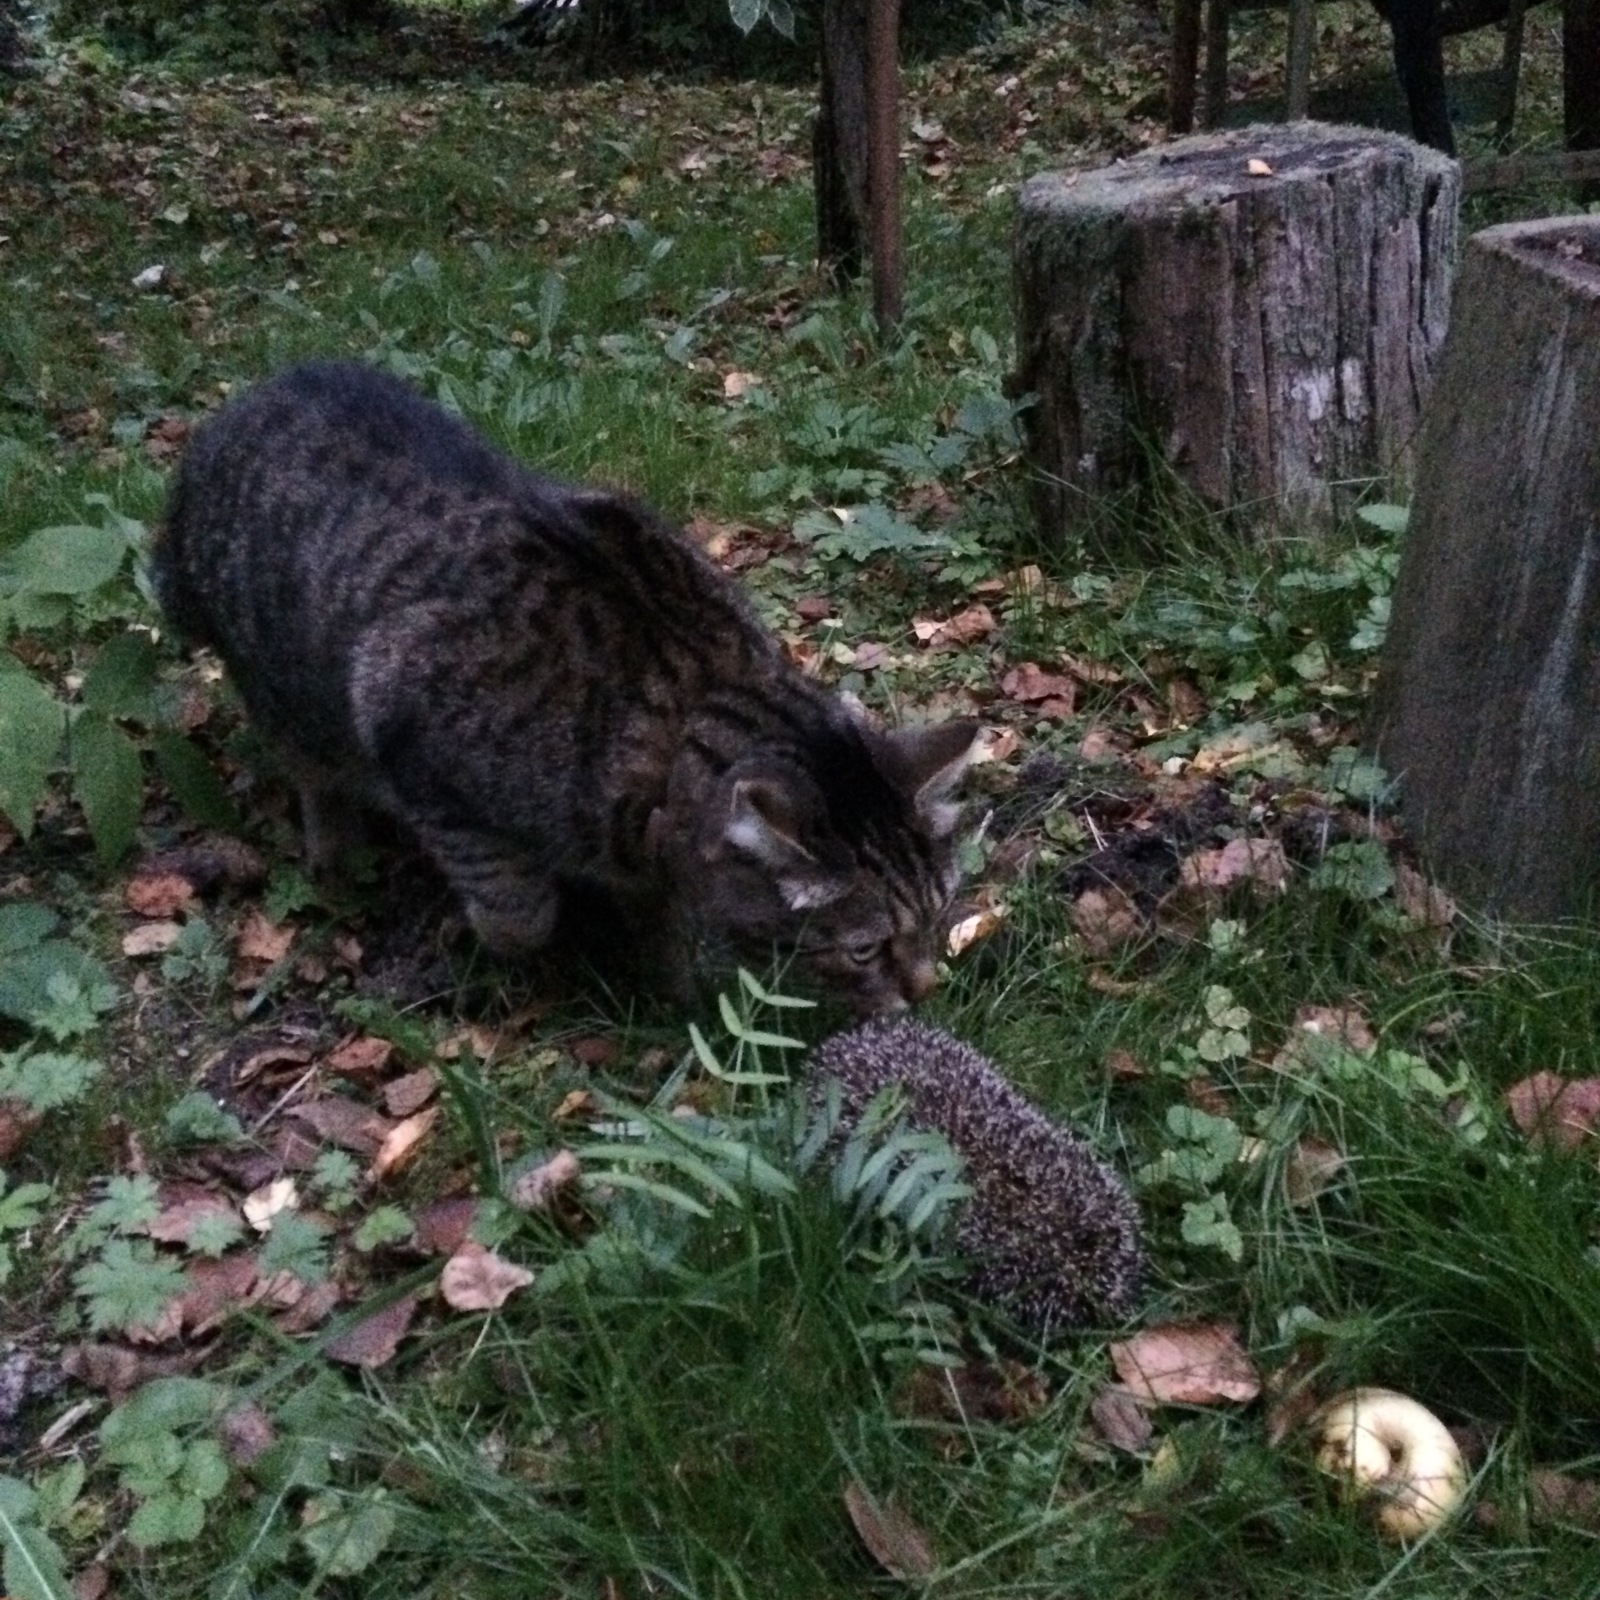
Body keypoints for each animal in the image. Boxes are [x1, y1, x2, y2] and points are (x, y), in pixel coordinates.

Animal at [152, 363, 972, 1011]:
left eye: (940, 917)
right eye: (865, 949)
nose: (926, 988)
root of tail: (232, 415)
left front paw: (668, 985)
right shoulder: (411, 734)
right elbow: (519, 913)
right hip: (286, 693)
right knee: (314, 774)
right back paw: (338, 855)